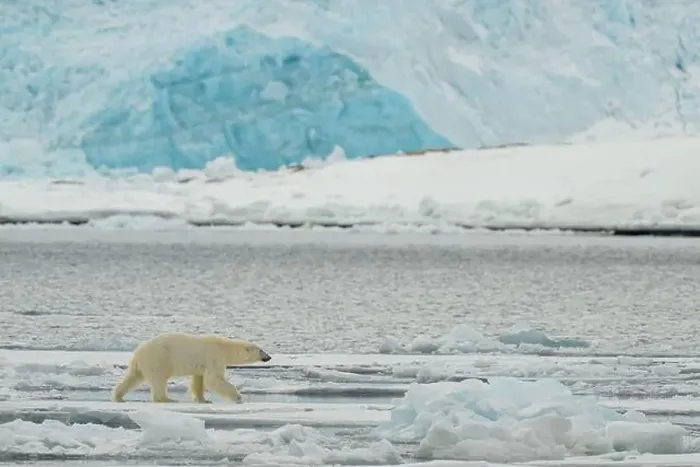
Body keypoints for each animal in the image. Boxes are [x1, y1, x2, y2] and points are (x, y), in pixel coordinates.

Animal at [112, 332, 271, 404]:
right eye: (261, 350)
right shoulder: (213, 356)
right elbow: (214, 378)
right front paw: (238, 397)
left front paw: (204, 400)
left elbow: (199, 380)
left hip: (143, 364)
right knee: (159, 379)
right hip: (158, 359)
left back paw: (118, 396)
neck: (224, 347)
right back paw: (167, 399)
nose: (269, 357)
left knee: (133, 377)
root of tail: (137, 353)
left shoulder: (202, 364)